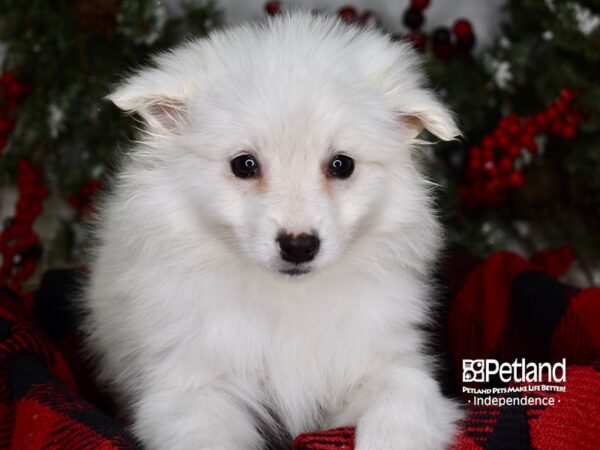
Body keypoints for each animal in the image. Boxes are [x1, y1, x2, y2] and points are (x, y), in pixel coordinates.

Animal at [82, 12, 462, 450]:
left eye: (342, 165)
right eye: (244, 165)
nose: (299, 246)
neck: (287, 297)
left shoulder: (386, 360)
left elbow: (400, 400)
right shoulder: (192, 386)